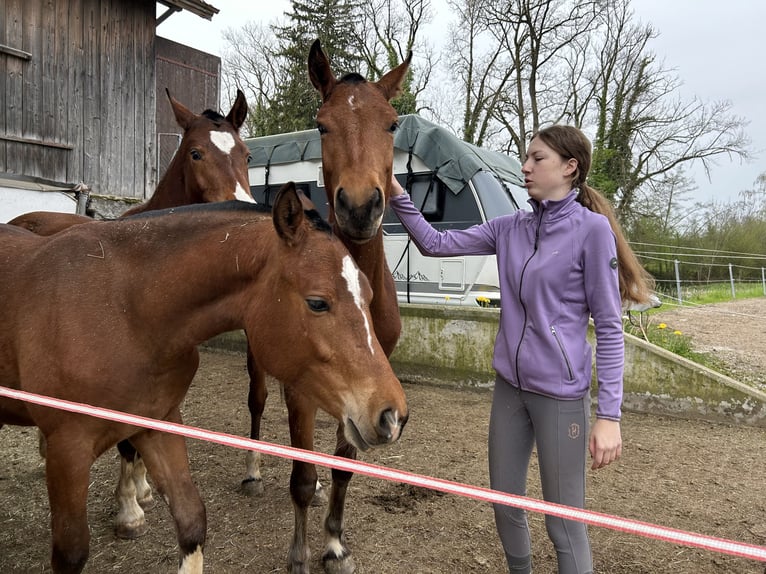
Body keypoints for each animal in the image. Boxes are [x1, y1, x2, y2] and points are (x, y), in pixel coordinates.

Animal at [0, 184, 408, 574]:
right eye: (318, 302)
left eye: (370, 296)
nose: (393, 415)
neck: (121, 309)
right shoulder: (69, 446)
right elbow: (71, 553)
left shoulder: (158, 424)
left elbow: (191, 521)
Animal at [244, 38, 414, 572]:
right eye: (322, 124)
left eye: (392, 124)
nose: (359, 206)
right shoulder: (302, 385)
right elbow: (299, 473)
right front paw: (300, 552)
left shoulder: (366, 381)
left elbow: (343, 465)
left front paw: (335, 542)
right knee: (257, 403)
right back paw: (252, 470)